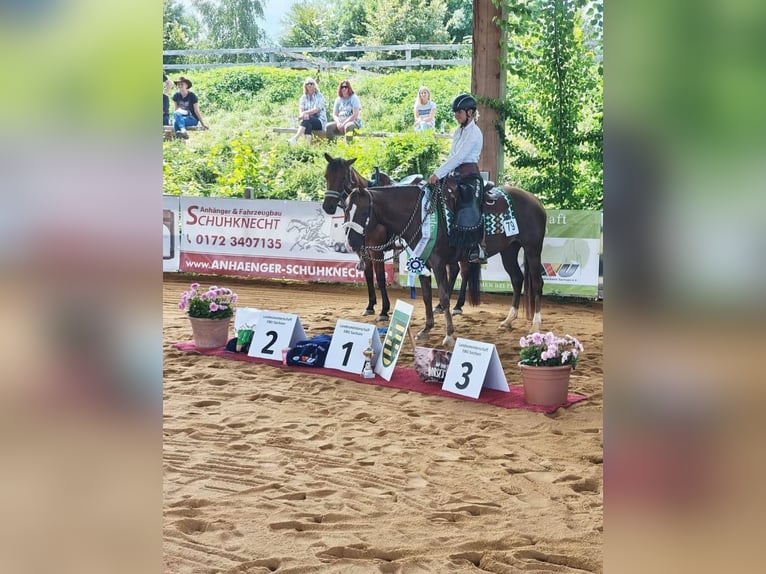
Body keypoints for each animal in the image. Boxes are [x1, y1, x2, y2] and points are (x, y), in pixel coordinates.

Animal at [322, 154, 471, 318]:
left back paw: (457, 305)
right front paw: (370, 306)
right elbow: (368, 276)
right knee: (455, 270)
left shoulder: (376, 250)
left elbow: (380, 278)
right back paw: (441, 305)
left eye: (343, 177)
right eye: (326, 176)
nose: (328, 206)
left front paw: (384, 310)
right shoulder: (362, 250)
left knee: (464, 271)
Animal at [341, 180, 547, 347]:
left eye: (362, 211)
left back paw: (535, 324)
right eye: (345, 210)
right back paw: (508, 320)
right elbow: (426, 297)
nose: (351, 243)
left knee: (537, 282)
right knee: (517, 279)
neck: (420, 216)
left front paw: (448, 335)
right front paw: (426, 329)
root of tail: (535, 201)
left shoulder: (438, 264)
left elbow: (444, 296)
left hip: (533, 249)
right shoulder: (421, 263)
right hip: (509, 251)